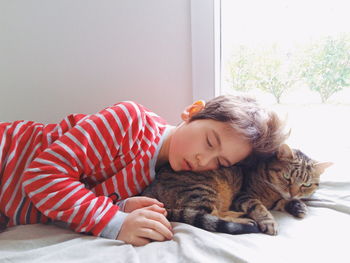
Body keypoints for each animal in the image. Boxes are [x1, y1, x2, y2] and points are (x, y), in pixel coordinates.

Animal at [142, 144, 330, 237]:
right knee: (209, 214)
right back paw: (245, 220)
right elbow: (259, 207)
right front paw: (268, 221)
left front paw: (298, 205)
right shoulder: (244, 196)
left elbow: (283, 202)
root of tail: (148, 193)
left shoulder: (277, 199)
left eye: (306, 185)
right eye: (286, 177)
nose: (293, 192)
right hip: (202, 190)